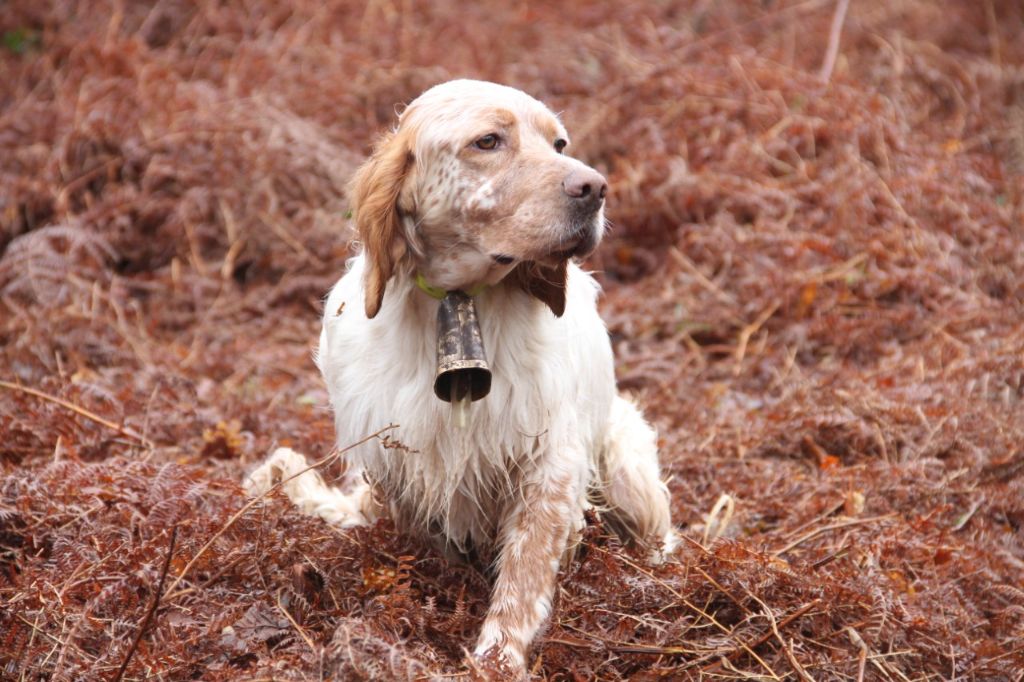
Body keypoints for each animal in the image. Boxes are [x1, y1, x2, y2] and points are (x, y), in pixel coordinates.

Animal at [245, 79, 679, 667]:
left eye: (559, 143)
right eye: (488, 141)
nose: (595, 187)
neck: (460, 301)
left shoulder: (550, 464)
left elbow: (522, 578)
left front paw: (497, 661)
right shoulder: (399, 469)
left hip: (627, 471)